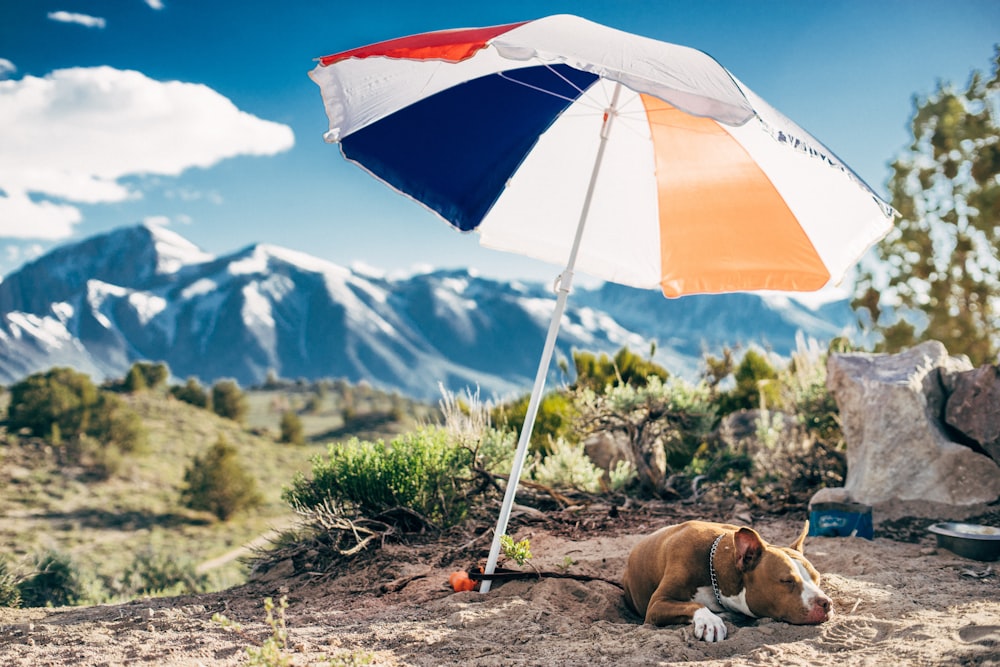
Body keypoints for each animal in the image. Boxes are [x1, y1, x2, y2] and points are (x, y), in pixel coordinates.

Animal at [624, 520, 828, 640]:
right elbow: (694, 605)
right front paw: (710, 621)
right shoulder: (656, 605)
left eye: (817, 579)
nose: (827, 603)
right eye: (787, 581)